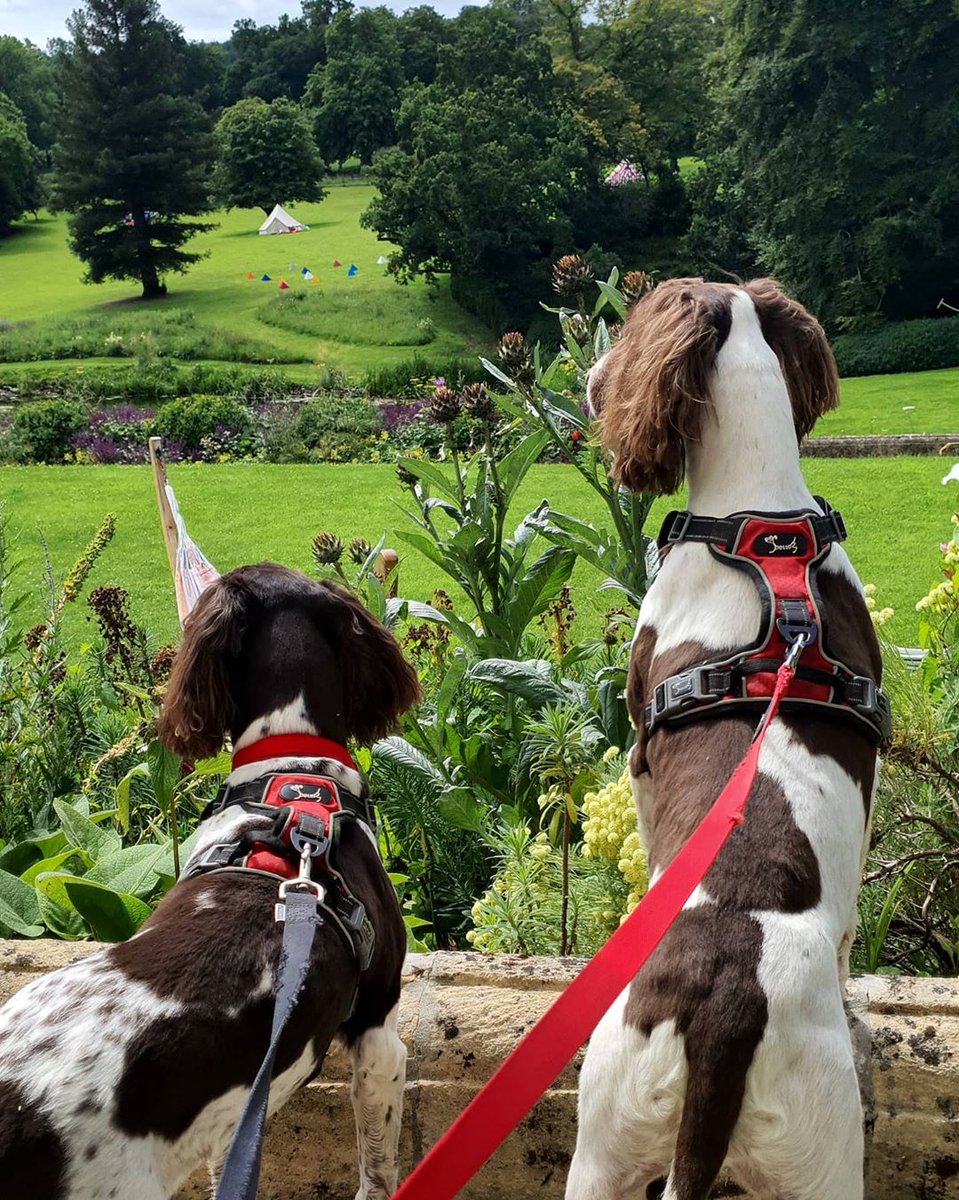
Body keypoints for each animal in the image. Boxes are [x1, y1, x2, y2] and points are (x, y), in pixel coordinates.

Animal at [566, 280, 888, 1200]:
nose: (590, 376)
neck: (762, 523)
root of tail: (724, 1013)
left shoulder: (640, 746)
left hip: (605, 1134)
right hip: (800, 1156)